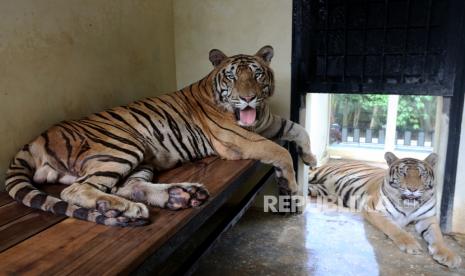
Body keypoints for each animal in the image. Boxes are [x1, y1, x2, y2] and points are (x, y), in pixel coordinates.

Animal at [4, 45, 316, 226]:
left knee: (125, 186)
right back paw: (131, 209)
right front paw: (292, 191)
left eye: (257, 74)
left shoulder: (267, 123)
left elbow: (298, 128)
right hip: (123, 145)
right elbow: (280, 151)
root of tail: (36, 139)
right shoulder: (238, 139)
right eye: (231, 77)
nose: (248, 98)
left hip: (140, 158)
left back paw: (178, 196)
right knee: (77, 190)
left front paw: (310, 159)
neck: (256, 117)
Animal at [308, 152, 460, 268]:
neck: (408, 206)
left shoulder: (427, 218)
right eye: (403, 174)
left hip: (319, 190)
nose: (412, 189)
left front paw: (448, 255)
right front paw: (410, 244)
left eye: (421, 175)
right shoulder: (374, 210)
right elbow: (393, 228)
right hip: (315, 175)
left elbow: (437, 236)